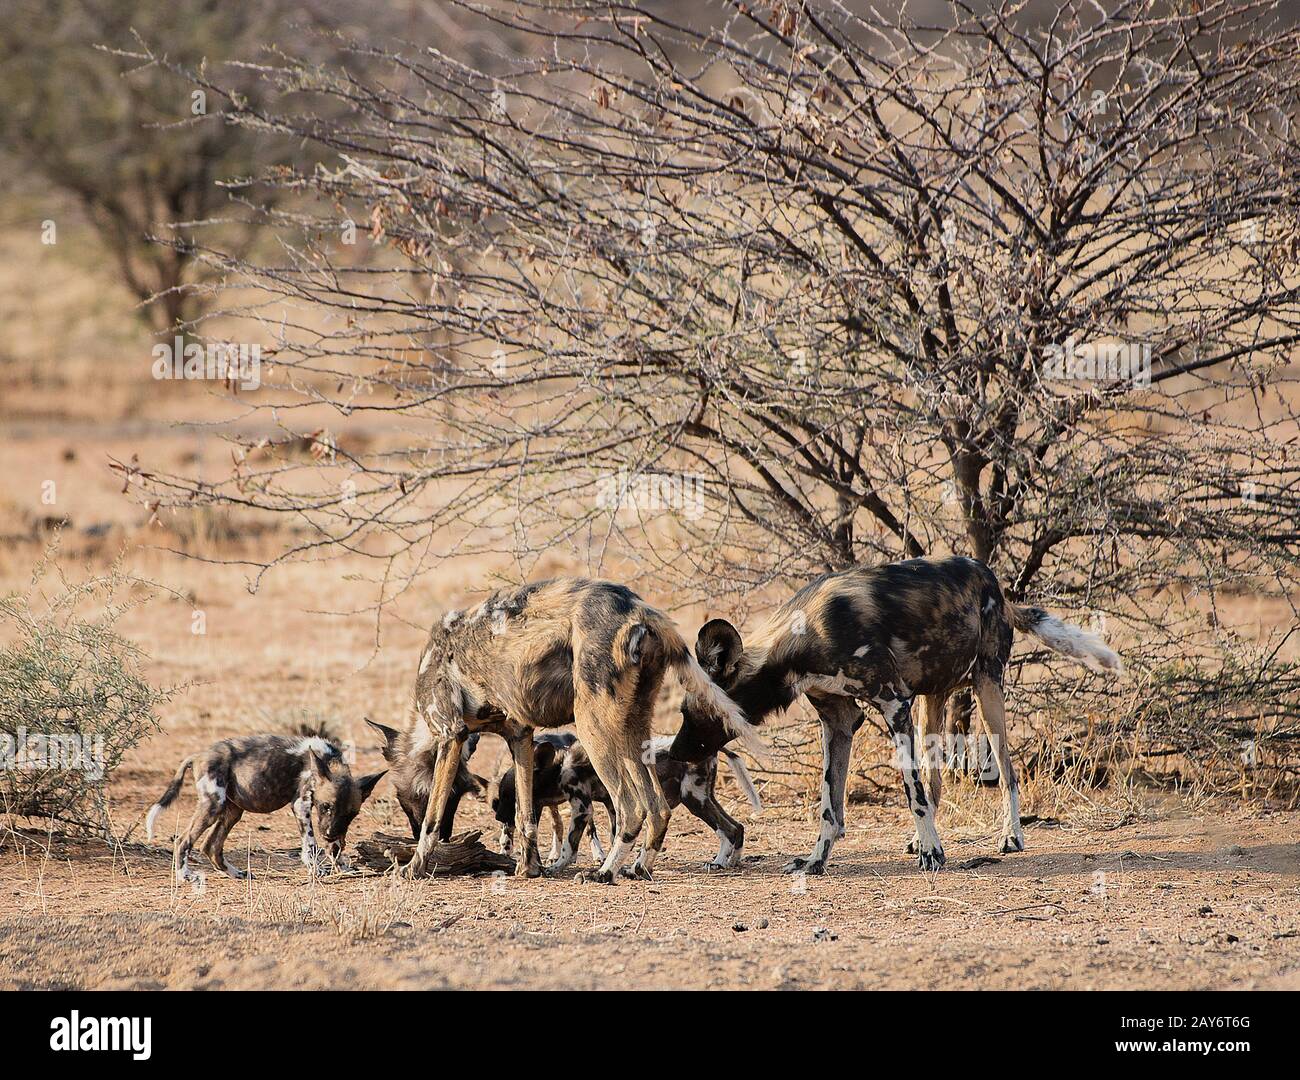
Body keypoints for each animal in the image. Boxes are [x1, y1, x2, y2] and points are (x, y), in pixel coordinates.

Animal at [493, 732, 764, 878]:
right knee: (736, 827)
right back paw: (728, 862)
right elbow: (617, 838)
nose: (498, 818)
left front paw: (558, 866)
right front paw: (613, 867)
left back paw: (721, 862)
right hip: (703, 798)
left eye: (507, 796)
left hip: (694, 799)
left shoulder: (582, 808)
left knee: (727, 828)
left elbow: (570, 848)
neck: (559, 767)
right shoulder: (614, 808)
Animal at [670, 553, 1118, 873]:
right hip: (930, 705)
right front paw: (816, 861)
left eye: (695, 712)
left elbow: (911, 792)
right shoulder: (839, 721)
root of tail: (994, 581)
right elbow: (830, 805)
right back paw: (923, 838)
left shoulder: (892, 705)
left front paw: (934, 856)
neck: (799, 640)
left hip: (987, 690)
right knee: (935, 778)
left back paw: (1009, 837)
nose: (674, 753)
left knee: (1006, 772)